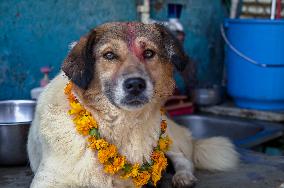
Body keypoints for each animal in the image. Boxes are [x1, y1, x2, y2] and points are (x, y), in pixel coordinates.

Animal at [27, 22, 239, 188]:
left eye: (149, 53)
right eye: (109, 55)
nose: (136, 84)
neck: (120, 125)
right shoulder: (47, 181)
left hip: (165, 135)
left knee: (183, 158)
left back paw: (183, 177)